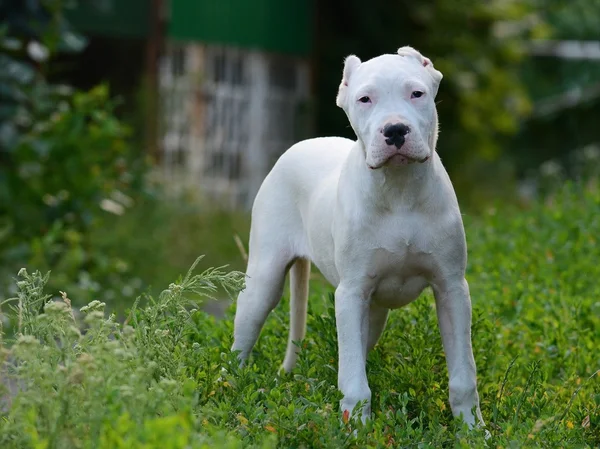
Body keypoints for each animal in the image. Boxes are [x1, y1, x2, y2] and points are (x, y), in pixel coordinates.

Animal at [232, 46, 486, 428]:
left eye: (417, 93)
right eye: (365, 99)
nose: (395, 130)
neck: (399, 191)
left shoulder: (452, 289)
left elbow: (463, 375)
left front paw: (472, 430)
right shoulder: (350, 294)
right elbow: (353, 379)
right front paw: (357, 431)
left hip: (374, 312)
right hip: (264, 281)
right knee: (244, 337)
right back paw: (231, 385)